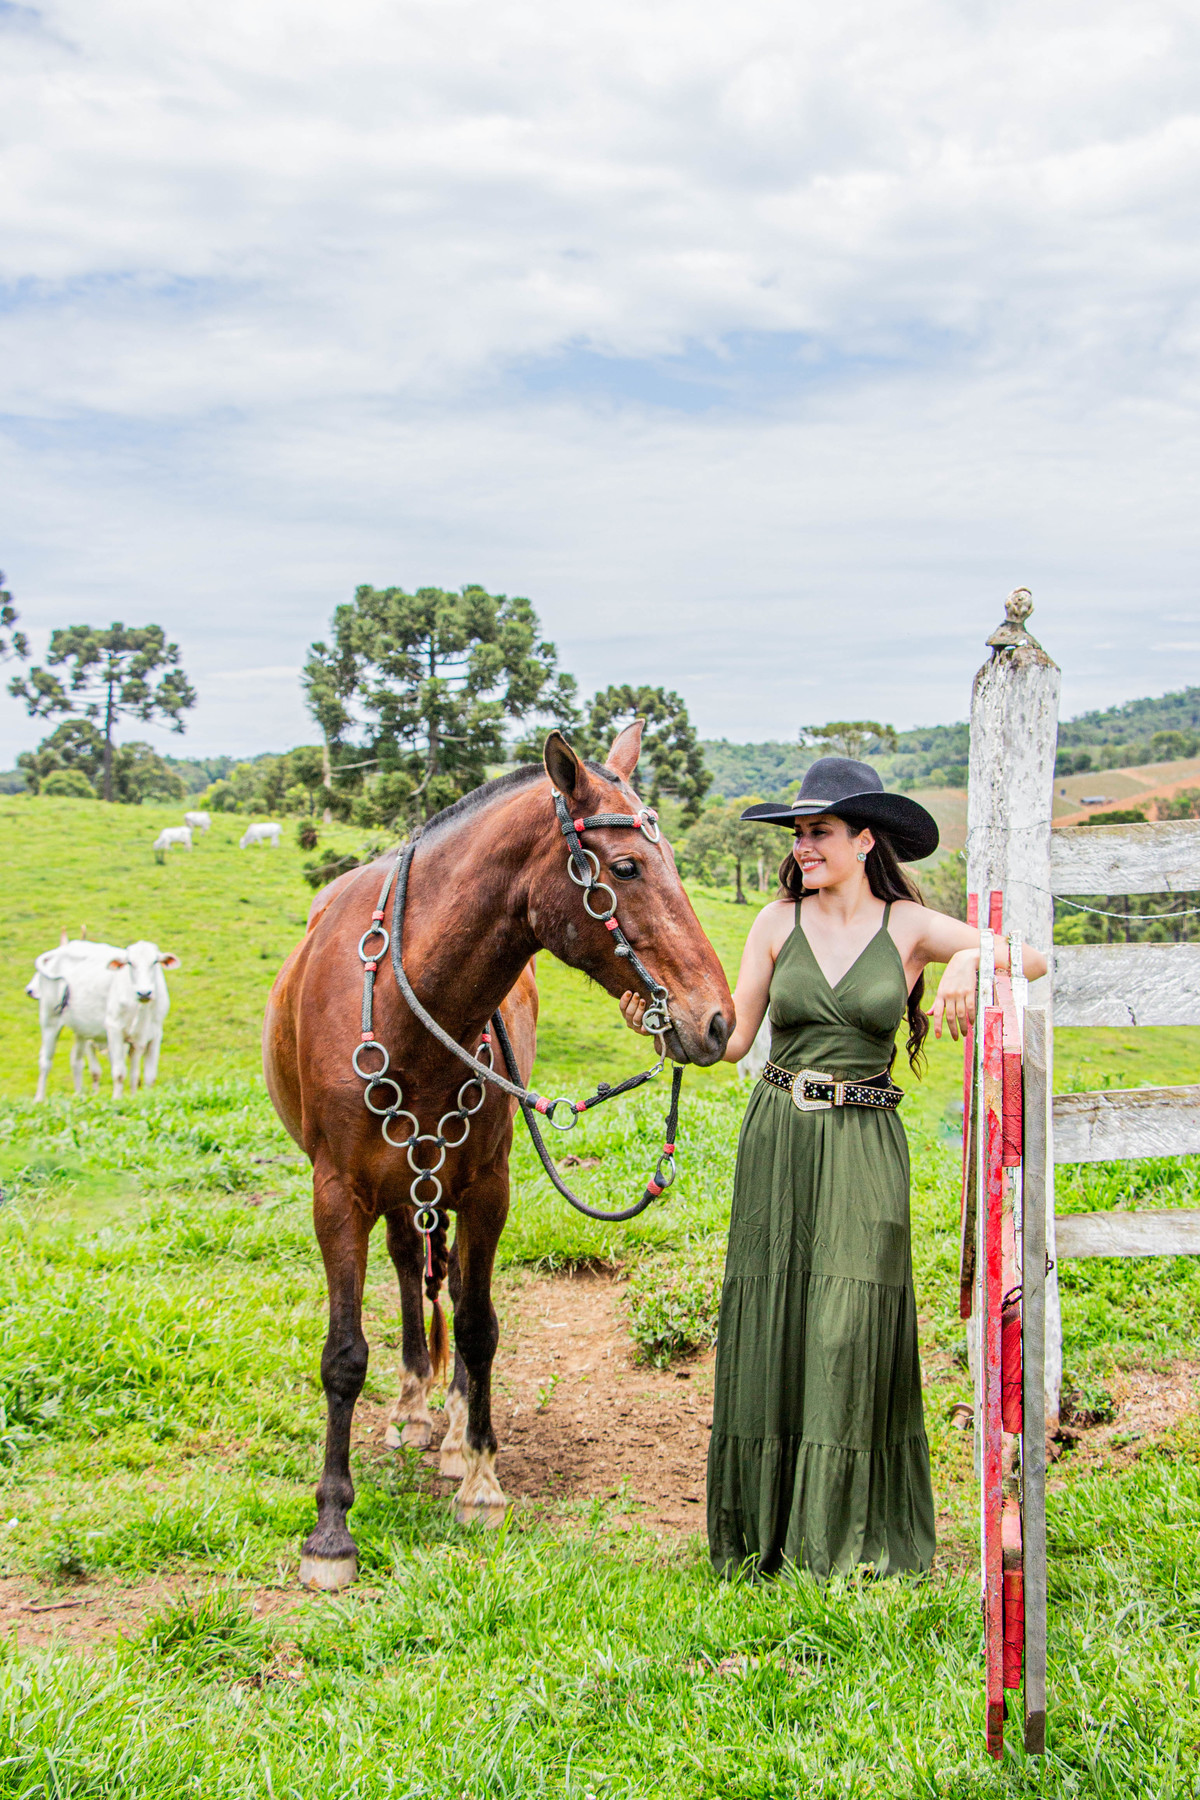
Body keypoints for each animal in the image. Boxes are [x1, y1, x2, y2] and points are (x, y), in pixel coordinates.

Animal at [26, 937, 123, 1101]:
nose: (29, 991)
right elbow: (98, 1070)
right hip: (50, 1020)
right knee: (45, 1059)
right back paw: (39, 1098)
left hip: (80, 1031)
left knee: (76, 1060)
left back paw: (79, 1094)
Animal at [105, 942, 181, 1098]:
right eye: (130, 963)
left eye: (155, 962)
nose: (144, 993)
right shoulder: (114, 1029)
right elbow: (119, 1073)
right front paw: (116, 1099)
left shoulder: (154, 1034)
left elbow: (147, 1077)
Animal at [263, 723, 734, 1590]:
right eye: (626, 867)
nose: (717, 1019)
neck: (414, 1005)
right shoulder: (336, 1193)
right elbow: (344, 1354)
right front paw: (331, 1529)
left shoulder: (487, 1190)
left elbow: (479, 1326)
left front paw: (480, 1476)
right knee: (410, 1269)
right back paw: (415, 1406)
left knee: (439, 1280)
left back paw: (449, 1426)